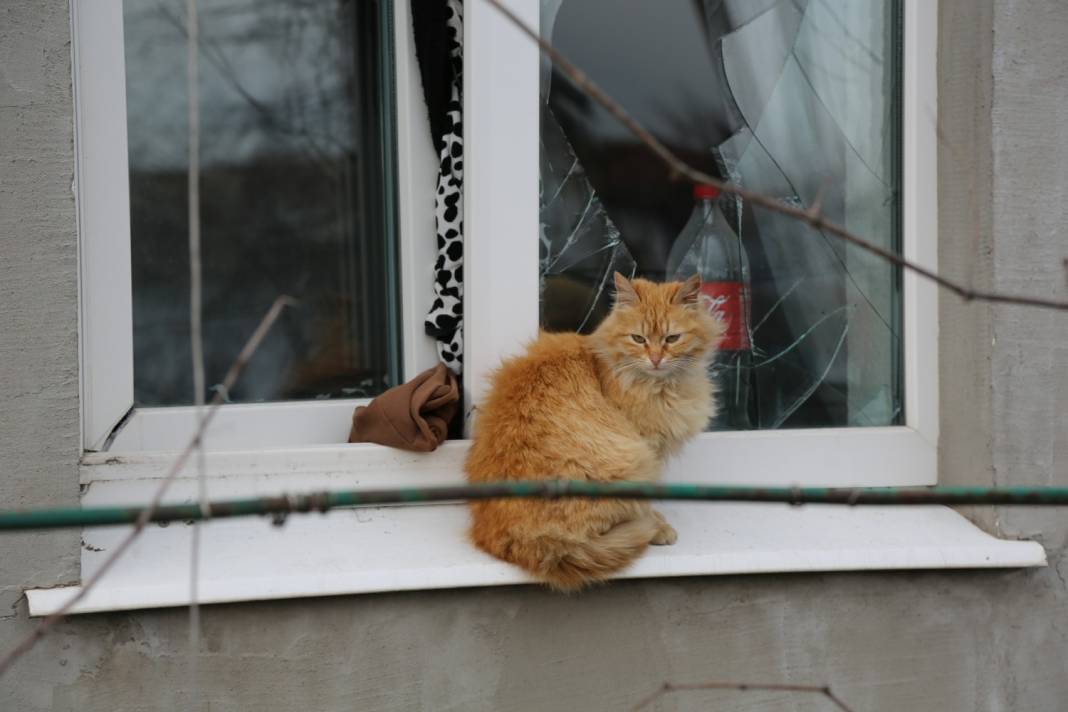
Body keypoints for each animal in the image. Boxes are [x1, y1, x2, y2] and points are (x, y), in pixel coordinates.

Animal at [463, 273, 721, 589]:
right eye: (638, 339)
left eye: (672, 339)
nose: (655, 359)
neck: (661, 386)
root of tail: (515, 541)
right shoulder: (648, 448)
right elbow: (646, 503)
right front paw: (659, 527)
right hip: (633, 462)